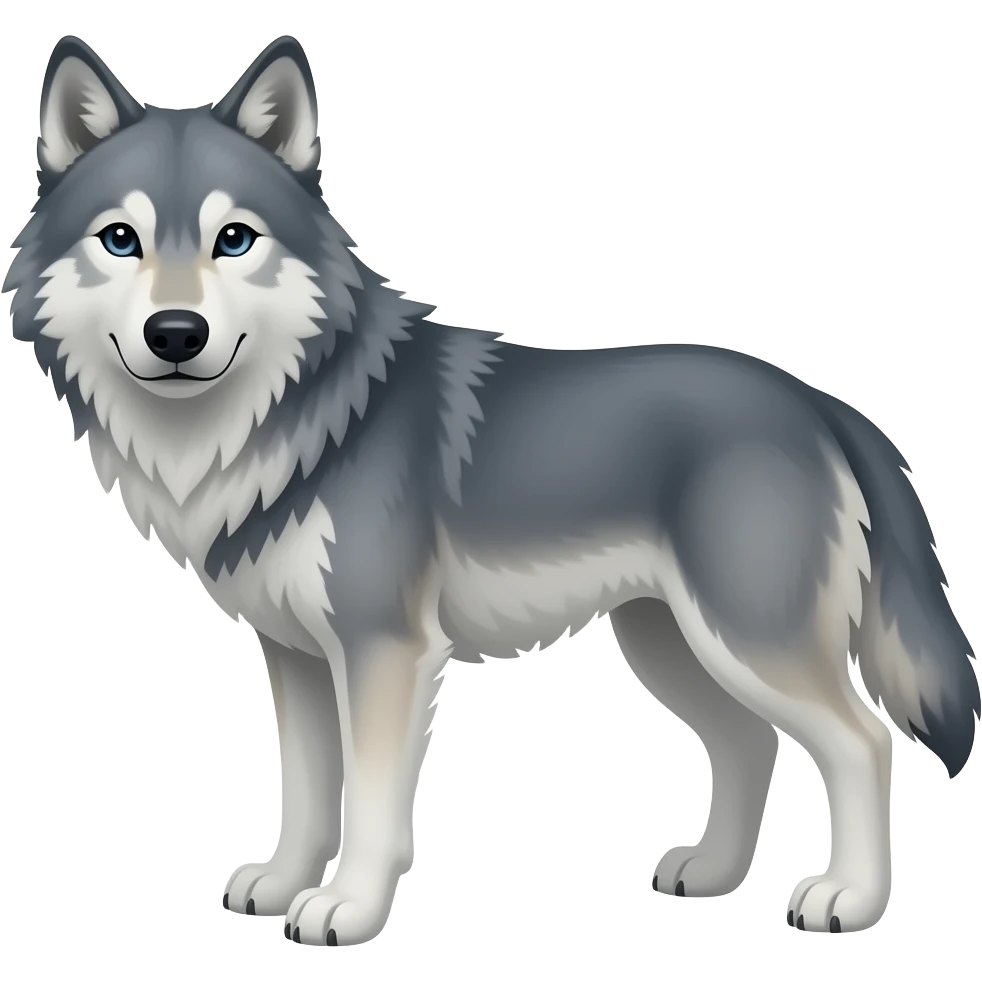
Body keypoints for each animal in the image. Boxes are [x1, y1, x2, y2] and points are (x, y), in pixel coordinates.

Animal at [4, 33, 978, 946]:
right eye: (120, 239)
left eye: (233, 239)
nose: (176, 333)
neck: (293, 419)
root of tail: (821, 404)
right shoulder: (296, 656)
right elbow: (310, 793)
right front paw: (281, 885)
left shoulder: (385, 652)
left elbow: (369, 805)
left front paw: (346, 910)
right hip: (673, 645)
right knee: (751, 741)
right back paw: (711, 873)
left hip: (745, 640)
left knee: (863, 741)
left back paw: (849, 899)